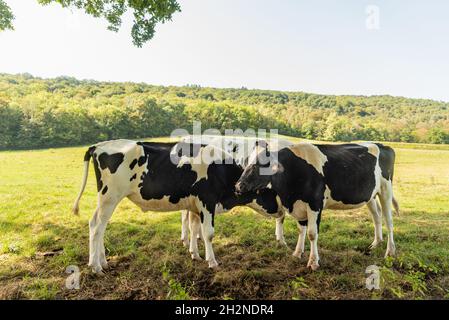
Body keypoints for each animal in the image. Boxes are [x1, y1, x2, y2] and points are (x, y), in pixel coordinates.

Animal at [72, 138, 284, 272]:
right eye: (271, 192)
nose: (281, 212)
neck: (221, 171)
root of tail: (98, 146)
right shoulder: (207, 201)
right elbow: (208, 233)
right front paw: (212, 261)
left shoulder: (195, 205)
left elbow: (194, 228)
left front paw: (195, 254)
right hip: (110, 197)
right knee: (97, 227)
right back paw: (95, 267)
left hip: (108, 199)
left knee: (99, 226)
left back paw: (103, 262)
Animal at [236, 142, 398, 270]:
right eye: (246, 161)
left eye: (262, 164)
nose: (238, 186)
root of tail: (383, 145)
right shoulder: (299, 205)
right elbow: (301, 230)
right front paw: (297, 253)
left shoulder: (315, 204)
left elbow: (312, 234)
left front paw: (313, 262)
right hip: (371, 195)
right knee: (377, 217)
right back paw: (376, 243)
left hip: (386, 189)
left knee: (389, 221)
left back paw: (390, 252)